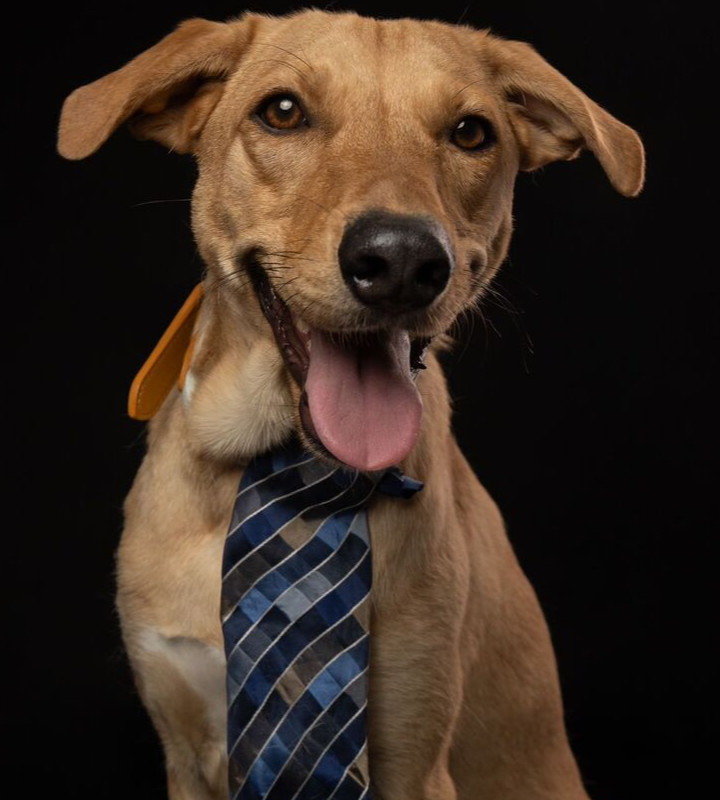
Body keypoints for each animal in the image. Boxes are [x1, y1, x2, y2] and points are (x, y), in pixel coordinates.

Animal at [56, 7, 640, 800]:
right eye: (282, 112)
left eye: (471, 132)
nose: (400, 260)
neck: (289, 467)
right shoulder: (183, 746)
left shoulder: (414, 756)